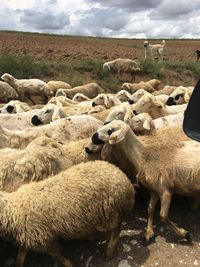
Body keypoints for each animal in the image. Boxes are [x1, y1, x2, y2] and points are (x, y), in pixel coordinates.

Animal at [0, 160, 136, 266]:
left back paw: (109, 249)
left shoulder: (44, 238)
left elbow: (56, 255)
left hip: (110, 210)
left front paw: (70, 264)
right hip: (109, 212)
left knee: (116, 228)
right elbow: (20, 258)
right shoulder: (27, 238)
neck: (11, 211)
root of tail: (125, 180)